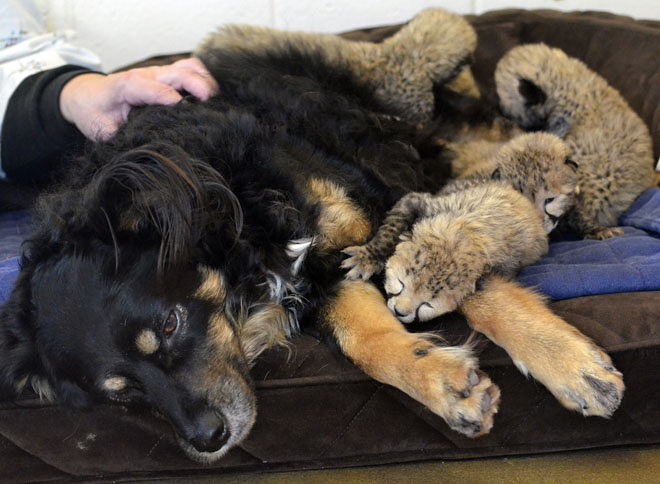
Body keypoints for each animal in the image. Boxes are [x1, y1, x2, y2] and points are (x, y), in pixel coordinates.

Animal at [0, 7, 624, 462]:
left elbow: (473, 283)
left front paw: (566, 362)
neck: (233, 221)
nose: (207, 441)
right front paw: (441, 381)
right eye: (122, 392)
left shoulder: (381, 211)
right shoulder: (328, 271)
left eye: (170, 323)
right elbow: (365, 339)